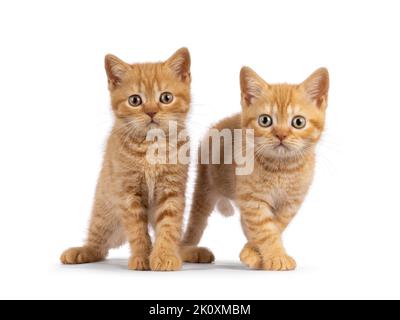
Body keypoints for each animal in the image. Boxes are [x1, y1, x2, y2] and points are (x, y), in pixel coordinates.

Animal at [61, 48, 192, 272]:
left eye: (166, 98)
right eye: (135, 100)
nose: (151, 111)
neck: (151, 147)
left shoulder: (172, 190)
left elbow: (169, 227)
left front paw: (164, 256)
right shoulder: (127, 192)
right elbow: (137, 230)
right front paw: (142, 257)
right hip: (104, 208)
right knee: (98, 244)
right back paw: (81, 251)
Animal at [181, 67, 328, 270]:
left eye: (298, 122)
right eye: (265, 120)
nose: (281, 134)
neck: (281, 168)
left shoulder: (290, 203)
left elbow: (274, 226)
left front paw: (254, 253)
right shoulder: (253, 199)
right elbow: (265, 230)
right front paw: (275, 256)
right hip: (204, 185)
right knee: (196, 220)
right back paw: (189, 250)